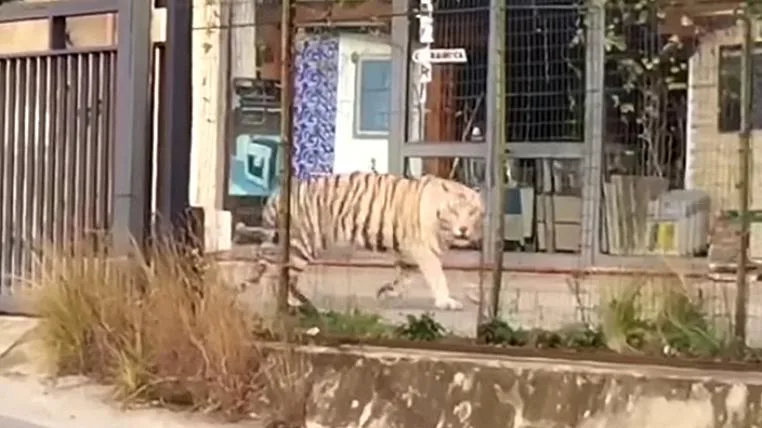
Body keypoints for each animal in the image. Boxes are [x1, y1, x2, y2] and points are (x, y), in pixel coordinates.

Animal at [255, 171, 485, 311]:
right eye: (454, 211)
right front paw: (446, 301)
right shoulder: (424, 250)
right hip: (302, 243)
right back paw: (288, 303)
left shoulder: (408, 252)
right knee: (278, 274)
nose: (464, 230)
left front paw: (388, 291)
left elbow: (405, 276)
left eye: (472, 212)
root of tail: (277, 194)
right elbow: (438, 277)